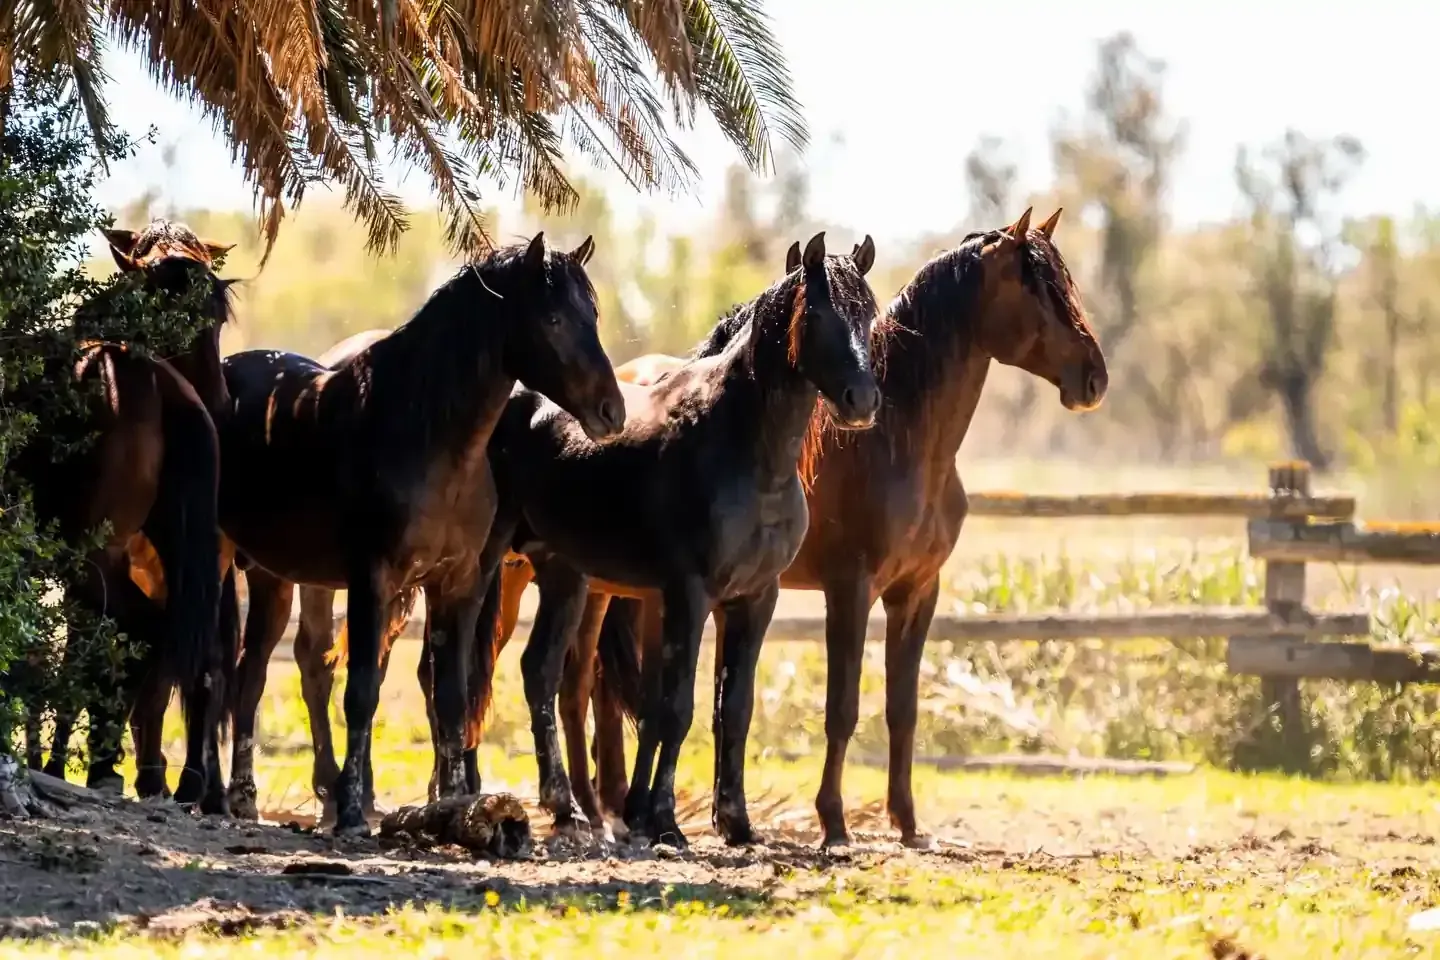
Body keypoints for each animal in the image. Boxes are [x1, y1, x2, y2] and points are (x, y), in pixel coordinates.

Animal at [23, 220, 237, 812]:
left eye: (216, 317)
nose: (222, 406)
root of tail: (162, 385)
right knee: (186, 655)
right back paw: (179, 782)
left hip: (93, 556)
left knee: (141, 641)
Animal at [214, 233, 625, 835]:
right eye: (551, 317)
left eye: (591, 314)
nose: (611, 411)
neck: (426, 434)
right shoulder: (373, 580)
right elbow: (362, 692)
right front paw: (353, 814)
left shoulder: (456, 583)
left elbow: (451, 695)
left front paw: (455, 806)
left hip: (272, 577)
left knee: (250, 674)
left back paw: (243, 797)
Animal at [468, 231, 881, 848]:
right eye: (820, 315)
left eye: (869, 313)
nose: (863, 400)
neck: (744, 447)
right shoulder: (688, 594)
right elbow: (676, 708)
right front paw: (663, 821)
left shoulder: (755, 598)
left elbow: (734, 709)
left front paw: (736, 822)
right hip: (489, 566)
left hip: (565, 576)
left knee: (539, 673)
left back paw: (565, 810)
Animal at [547, 207, 1110, 848]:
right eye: (1037, 289)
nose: (1094, 379)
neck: (898, 441)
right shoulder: (850, 589)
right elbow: (841, 709)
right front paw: (834, 822)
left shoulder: (916, 593)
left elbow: (901, 708)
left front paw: (907, 822)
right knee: (589, 690)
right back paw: (607, 814)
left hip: (638, 594)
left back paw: (621, 809)